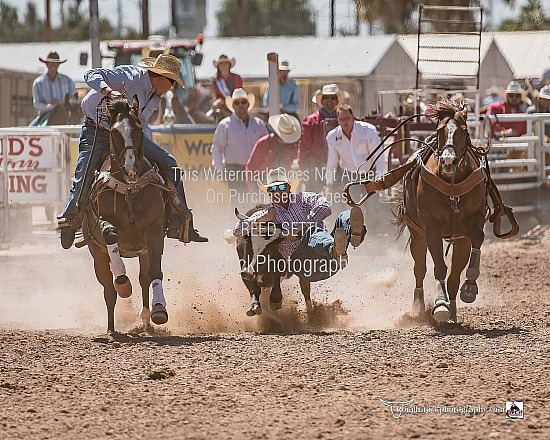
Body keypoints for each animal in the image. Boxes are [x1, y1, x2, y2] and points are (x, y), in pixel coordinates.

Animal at [83, 95, 169, 330]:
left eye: (138, 129)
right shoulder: (103, 222)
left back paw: (146, 319)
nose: (130, 168)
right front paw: (122, 280)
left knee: (144, 278)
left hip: (143, 250)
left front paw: (159, 310)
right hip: (97, 255)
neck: (129, 188)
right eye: (114, 132)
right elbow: (110, 233)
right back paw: (112, 327)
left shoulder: (154, 229)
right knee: (108, 289)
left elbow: (154, 272)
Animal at [398, 101, 490, 324]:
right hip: (417, 234)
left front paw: (470, 287)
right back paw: (419, 308)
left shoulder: (471, 227)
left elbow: (476, 240)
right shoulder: (431, 228)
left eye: (464, 131)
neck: (452, 185)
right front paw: (440, 304)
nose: (448, 161)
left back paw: (453, 312)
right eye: (440, 131)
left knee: (455, 274)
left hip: (459, 240)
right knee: (420, 269)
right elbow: (439, 266)